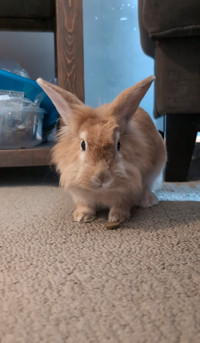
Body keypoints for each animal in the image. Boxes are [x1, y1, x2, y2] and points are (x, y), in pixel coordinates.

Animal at [36, 76, 166, 224]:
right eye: (83, 144)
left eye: (118, 145)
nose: (102, 177)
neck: (101, 191)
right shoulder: (80, 193)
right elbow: (86, 204)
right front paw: (82, 217)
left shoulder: (129, 188)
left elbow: (121, 204)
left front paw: (117, 217)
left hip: (156, 169)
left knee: (148, 186)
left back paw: (148, 201)